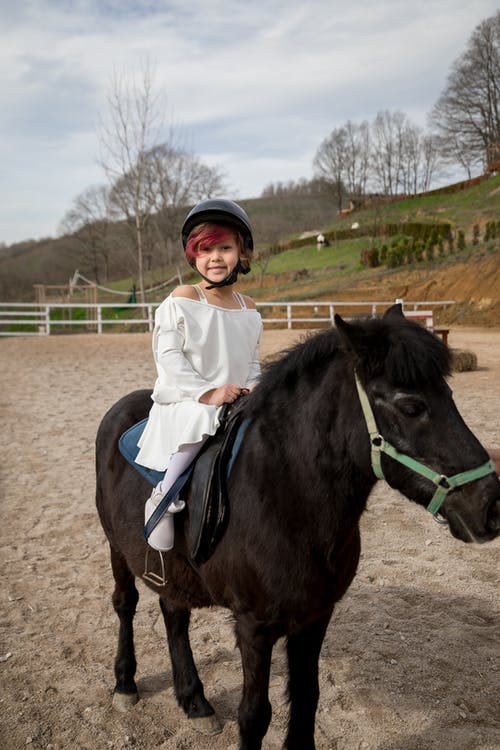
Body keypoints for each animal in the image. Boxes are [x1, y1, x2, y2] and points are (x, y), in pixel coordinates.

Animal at [95, 306, 498, 750]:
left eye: (450, 398)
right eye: (411, 407)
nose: (490, 504)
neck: (285, 500)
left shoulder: (315, 616)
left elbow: (307, 697)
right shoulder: (254, 626)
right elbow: (254, 715)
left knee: (174, 612)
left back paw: (194, 701)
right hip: (116, 547)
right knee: (126, 604)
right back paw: (125, 684)